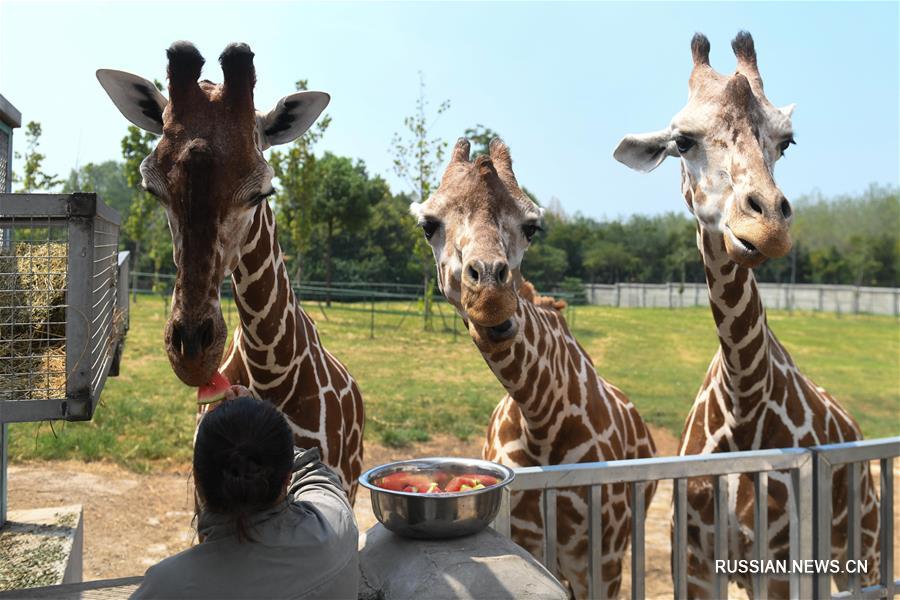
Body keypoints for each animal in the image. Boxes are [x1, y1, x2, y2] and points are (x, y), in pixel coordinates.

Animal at [412, 138, 656, 596]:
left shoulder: (602, 560)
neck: (541, 417)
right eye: (428, 225)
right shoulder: (529, 541)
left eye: (531, 227)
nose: (491, 297)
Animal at [612, 31, 880, 596]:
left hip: (860, 546)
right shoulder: (691, 561)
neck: (743, 401)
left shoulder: (777, 561)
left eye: (787, 141)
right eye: (682, 141)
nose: (768, 226)